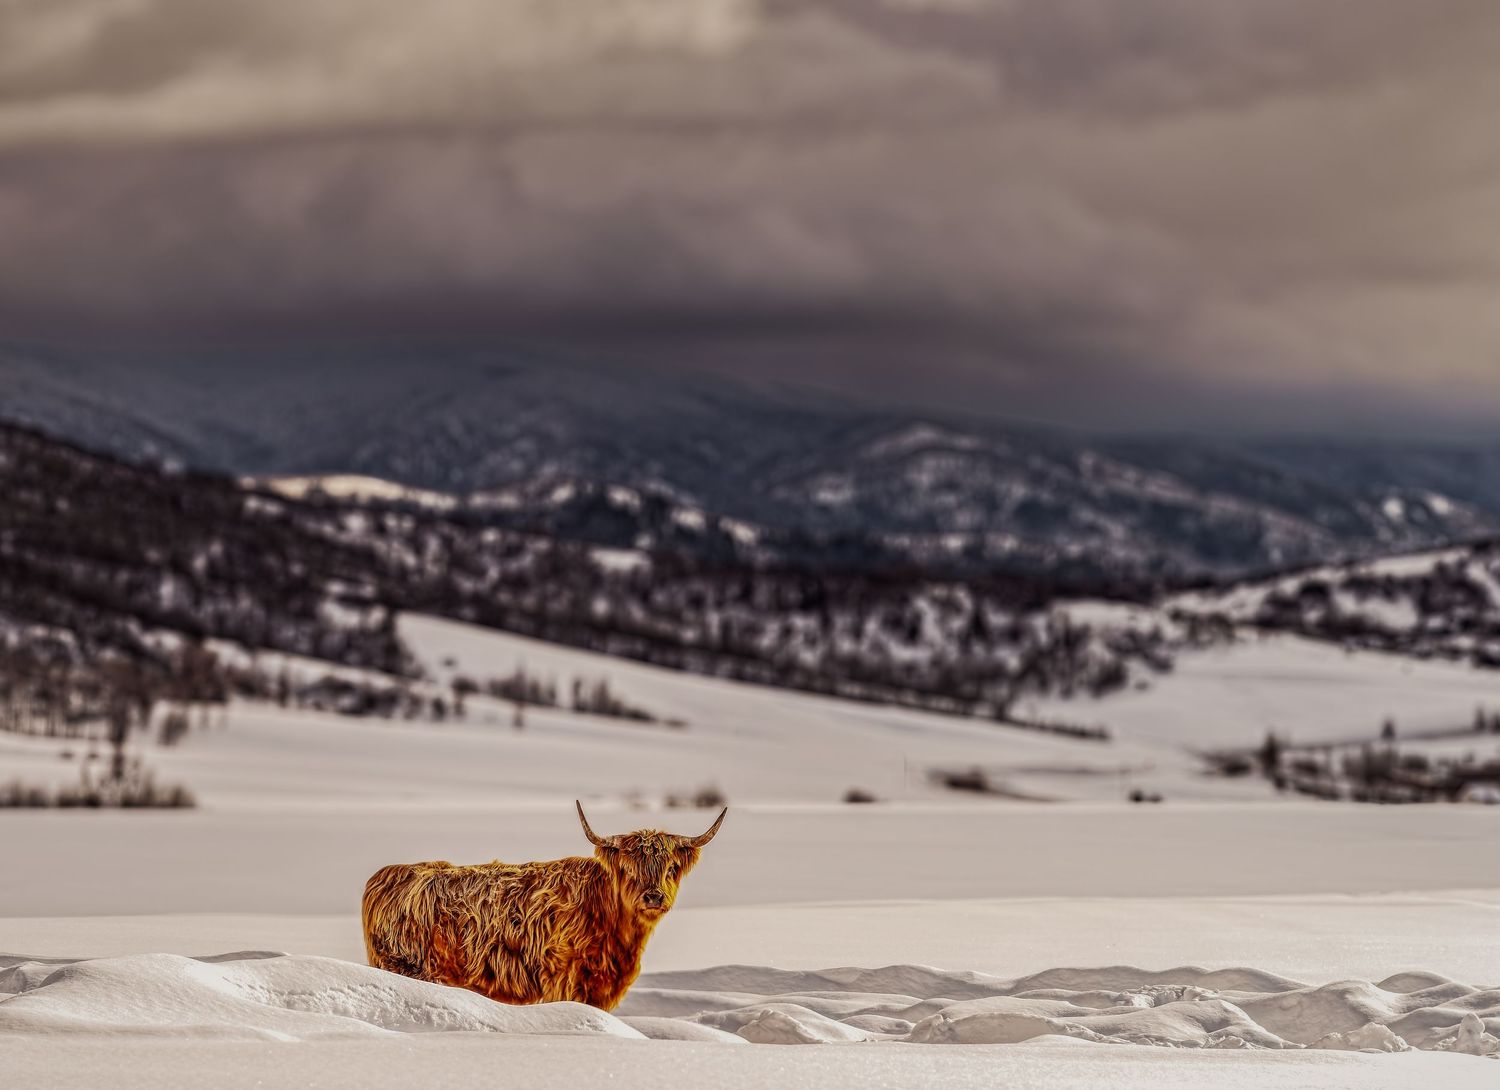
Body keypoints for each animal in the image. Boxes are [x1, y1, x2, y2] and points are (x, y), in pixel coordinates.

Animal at [361, 801, 727, 1011]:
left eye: (671, 868)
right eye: (627, 869)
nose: (653, 896)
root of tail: (389, 874)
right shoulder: (566, 982)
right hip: (407, 966)